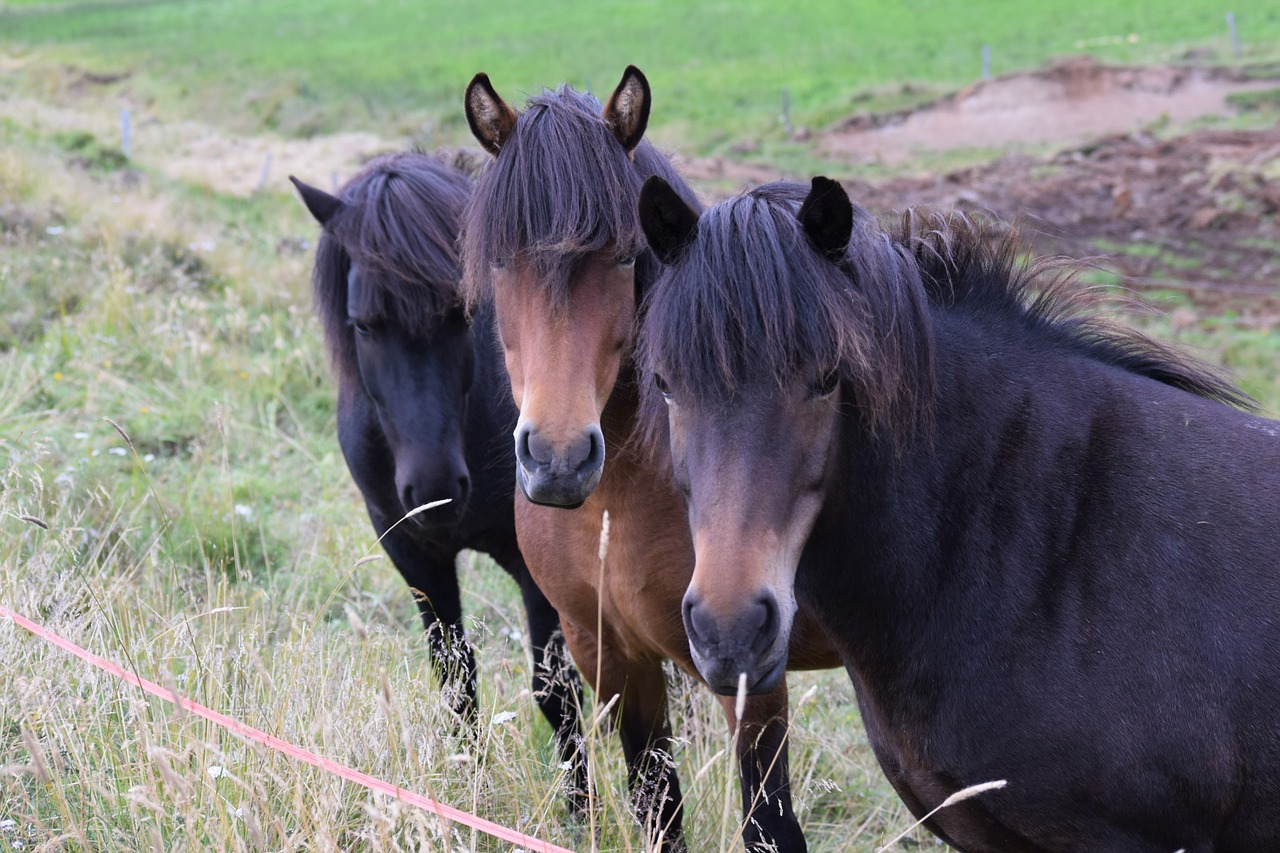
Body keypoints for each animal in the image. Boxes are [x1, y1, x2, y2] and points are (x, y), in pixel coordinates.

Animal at [290, 151, 586, 804]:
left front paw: (585, 814)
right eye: (363, 325)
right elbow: (456, 680)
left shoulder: (535, 565)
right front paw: (466, 790)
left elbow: (555, 693)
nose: (435, 492)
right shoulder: (413, 553)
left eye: (463, 314)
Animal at [460, 69, 839, 845]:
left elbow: (770, 824)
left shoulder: (751, 680)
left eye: (626, 256)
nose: (559, 459)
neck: (621, 507)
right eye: (501, 258)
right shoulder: (613, 657)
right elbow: (656, 806)